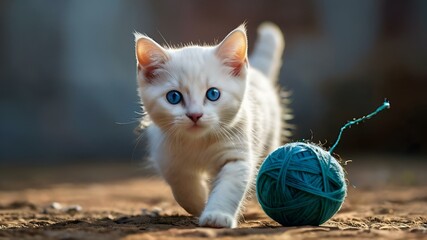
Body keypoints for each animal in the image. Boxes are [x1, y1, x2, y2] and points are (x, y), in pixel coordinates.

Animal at [134, 23, 288, 228]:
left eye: (213, 94)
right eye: (173, 97)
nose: (195, 115)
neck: (199, 142)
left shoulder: (236, 154)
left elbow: (228, 188)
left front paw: (217, 215)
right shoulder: (165, 154)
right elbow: (181, 183)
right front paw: (200, 202)